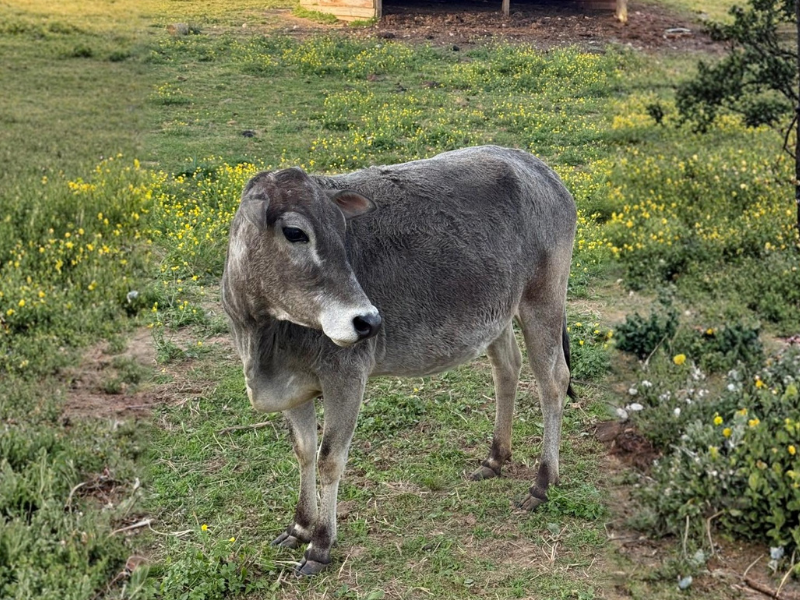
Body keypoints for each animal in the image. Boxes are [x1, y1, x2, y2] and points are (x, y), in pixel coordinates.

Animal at [221, 145, 577, 576]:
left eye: (342, 231)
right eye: (295, 232)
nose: (369, 322)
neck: (262, 340)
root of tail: (534, 164)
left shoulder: (346, 377)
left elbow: (329, 460)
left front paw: (321, 544)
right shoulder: (294, 387)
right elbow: (304, 452)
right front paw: (299, 526)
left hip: (543, 298)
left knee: (553, 381)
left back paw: (542, 482)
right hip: (497, 314)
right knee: (507, 367)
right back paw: (495, 458)